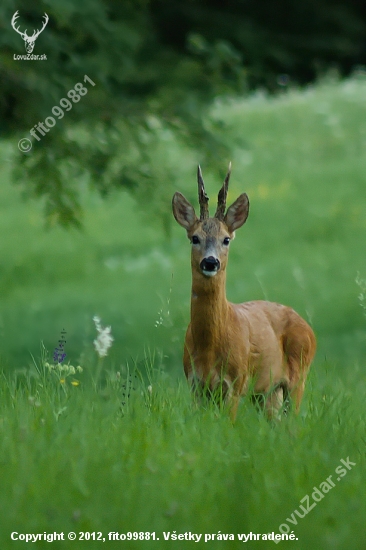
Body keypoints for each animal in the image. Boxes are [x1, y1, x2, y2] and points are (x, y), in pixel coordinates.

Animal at [173, 164, 316, 422]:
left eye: (226, 239)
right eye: (194, 238)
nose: (210, 262)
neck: (210, 346)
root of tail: (309, 329)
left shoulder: (236, 383)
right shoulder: (195, 384)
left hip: (299, 376)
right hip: (268, 392)